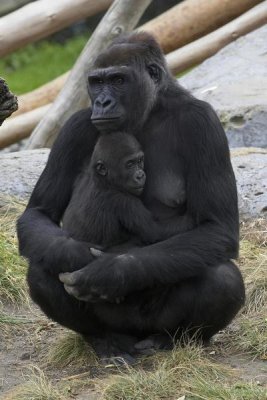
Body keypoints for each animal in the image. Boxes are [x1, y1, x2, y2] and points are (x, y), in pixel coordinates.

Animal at [62, 133, 194, 248]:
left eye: (140, 161)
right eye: (130, 164)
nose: (140, 175)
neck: (103, 180)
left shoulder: (83, 173)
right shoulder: (124, 202)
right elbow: (155, 232)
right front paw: (191, 219)